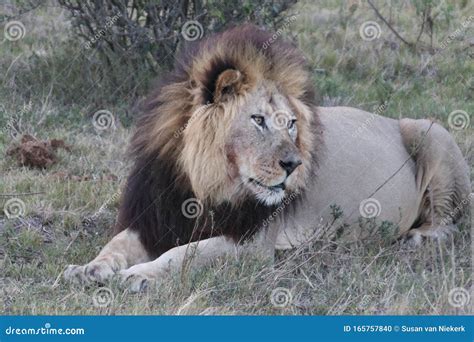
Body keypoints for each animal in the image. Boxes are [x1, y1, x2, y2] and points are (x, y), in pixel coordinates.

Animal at [63, 24, 470, 292]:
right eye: (257, 120)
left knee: (450, 222)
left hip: (432, 132)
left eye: (290, 124)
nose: (294, 165)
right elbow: (115, 246)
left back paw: (418, 238)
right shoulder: (152, 218)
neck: (203, 183)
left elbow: (185, 254)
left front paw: (142, 274)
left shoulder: (252, 242)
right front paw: (88, 269)